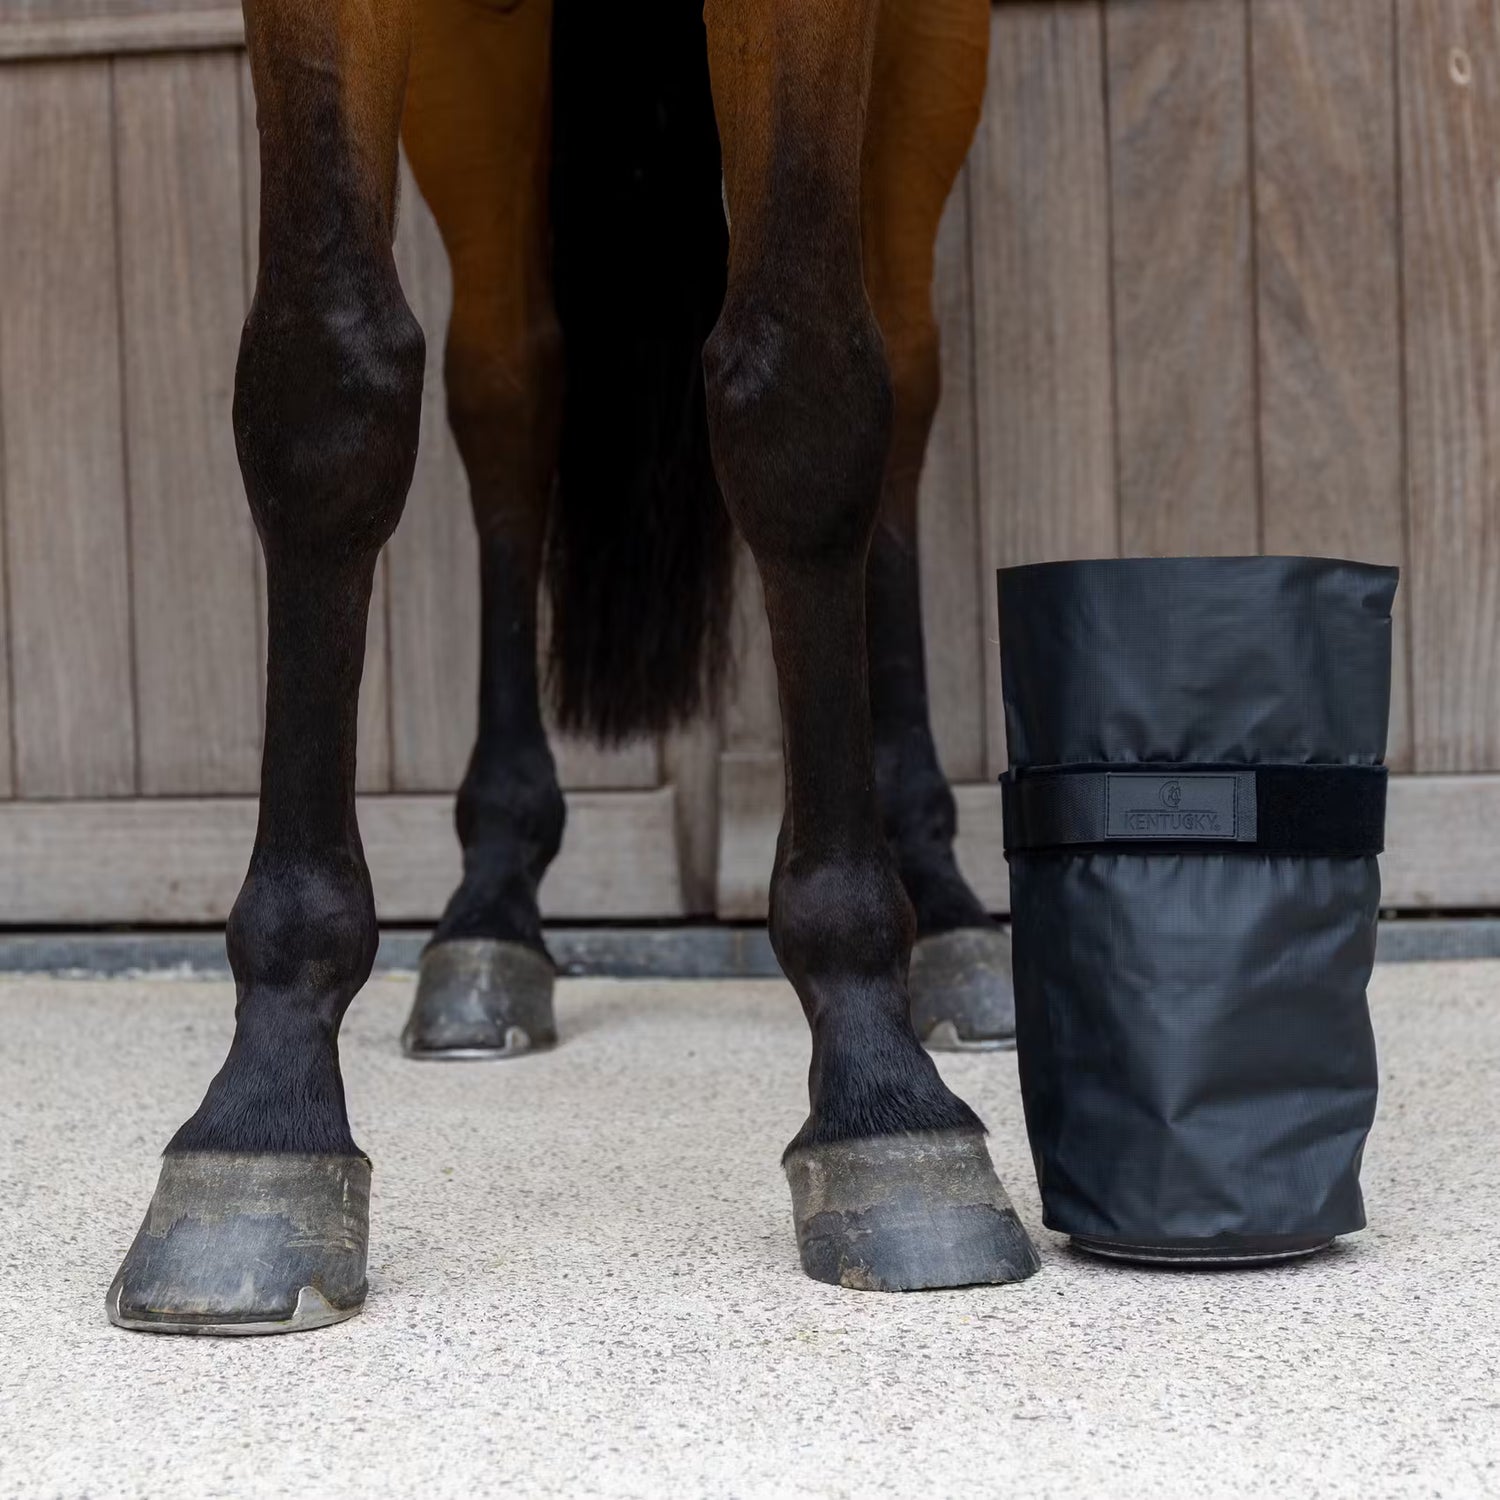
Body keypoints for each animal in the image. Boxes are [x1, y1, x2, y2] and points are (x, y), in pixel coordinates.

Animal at [106, 0, 1041, 1336]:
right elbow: (325, 385)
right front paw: (265, 1108)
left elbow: (806, 396)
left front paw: (880, 1086)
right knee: (508, 381)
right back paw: (491, 910)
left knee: (905, 379)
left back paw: (949, 908)